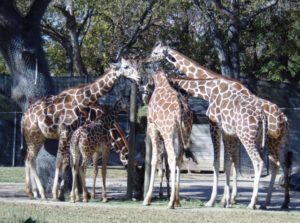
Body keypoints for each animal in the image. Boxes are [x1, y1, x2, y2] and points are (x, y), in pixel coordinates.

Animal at [21, 58, 141, 200]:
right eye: (126, 66)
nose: (139, 77)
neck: (80, 101)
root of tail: (24, 117)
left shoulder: (73, 134)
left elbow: (71, 162)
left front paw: (74, 193)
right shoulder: (66, 132)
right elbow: (61, 161)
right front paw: (58, 193)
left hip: (38, 137)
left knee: (30, 159)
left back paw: (33, 192)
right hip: (33, 135)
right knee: (30, 159)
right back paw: (40, 192)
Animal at [143, 70, 197, 208]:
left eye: (146, 86)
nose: (144, 97)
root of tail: (181, 109)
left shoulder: (153, 127)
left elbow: (154, 160)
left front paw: (147, 199)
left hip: (168, 133)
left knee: (173, 158)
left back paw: (171, 202)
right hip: (184, 132)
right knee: (179, 159)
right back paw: (177, 200)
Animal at [149, 42, 290, 210]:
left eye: (155, 52)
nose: (147, 61)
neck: (208, 89)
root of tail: (284, 118)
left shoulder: (216, 127)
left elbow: (220, 162)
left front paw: (216, 200)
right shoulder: (229, 132)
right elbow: (230, 162)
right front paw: (227, 200)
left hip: (266, 139)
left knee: (267, 164)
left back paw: (256, 203)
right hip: (278, 140)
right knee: (283, 164)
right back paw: (281, 202)